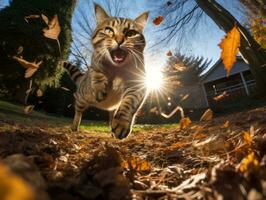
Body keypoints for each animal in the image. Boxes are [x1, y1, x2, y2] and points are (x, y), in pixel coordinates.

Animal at [63, 4, 149, 139]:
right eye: (109, 30)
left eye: (131, 33)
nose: (119, 40)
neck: (117, 68)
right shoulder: (95, 63)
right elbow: (98, 73)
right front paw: (100, 87)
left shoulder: (138, 83)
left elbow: (129, 102)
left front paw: (121, 124)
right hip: (82, 98)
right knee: (78, 108)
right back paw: (74, 126)